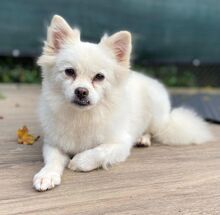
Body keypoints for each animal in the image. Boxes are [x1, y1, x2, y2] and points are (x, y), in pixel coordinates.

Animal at [33, 15, 212, 191]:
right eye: (69, 72)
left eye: (99, 77)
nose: (81, 91)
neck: (82, 116)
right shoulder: (53, 143)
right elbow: (53, 160)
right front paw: (47, 175)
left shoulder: (121, 144)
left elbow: (98, 151)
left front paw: (79, 161)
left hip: (156, 116)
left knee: (151, 130)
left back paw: (143, 138)